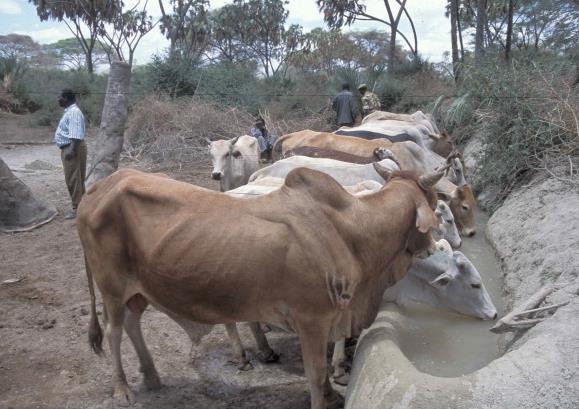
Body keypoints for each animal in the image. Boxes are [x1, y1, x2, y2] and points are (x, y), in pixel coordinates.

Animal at [77, 165, 444, 408]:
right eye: (435, 203)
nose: (434, 247)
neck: (352, 231)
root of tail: (98, 189)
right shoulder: (312, 319)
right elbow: (315, 370)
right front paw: (322, 397)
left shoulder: (332, 316)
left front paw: (329, 392)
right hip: (111, 287)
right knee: (113, 331)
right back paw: (122, 389)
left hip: (139, 290)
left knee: (133, 322)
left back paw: (152, 376)